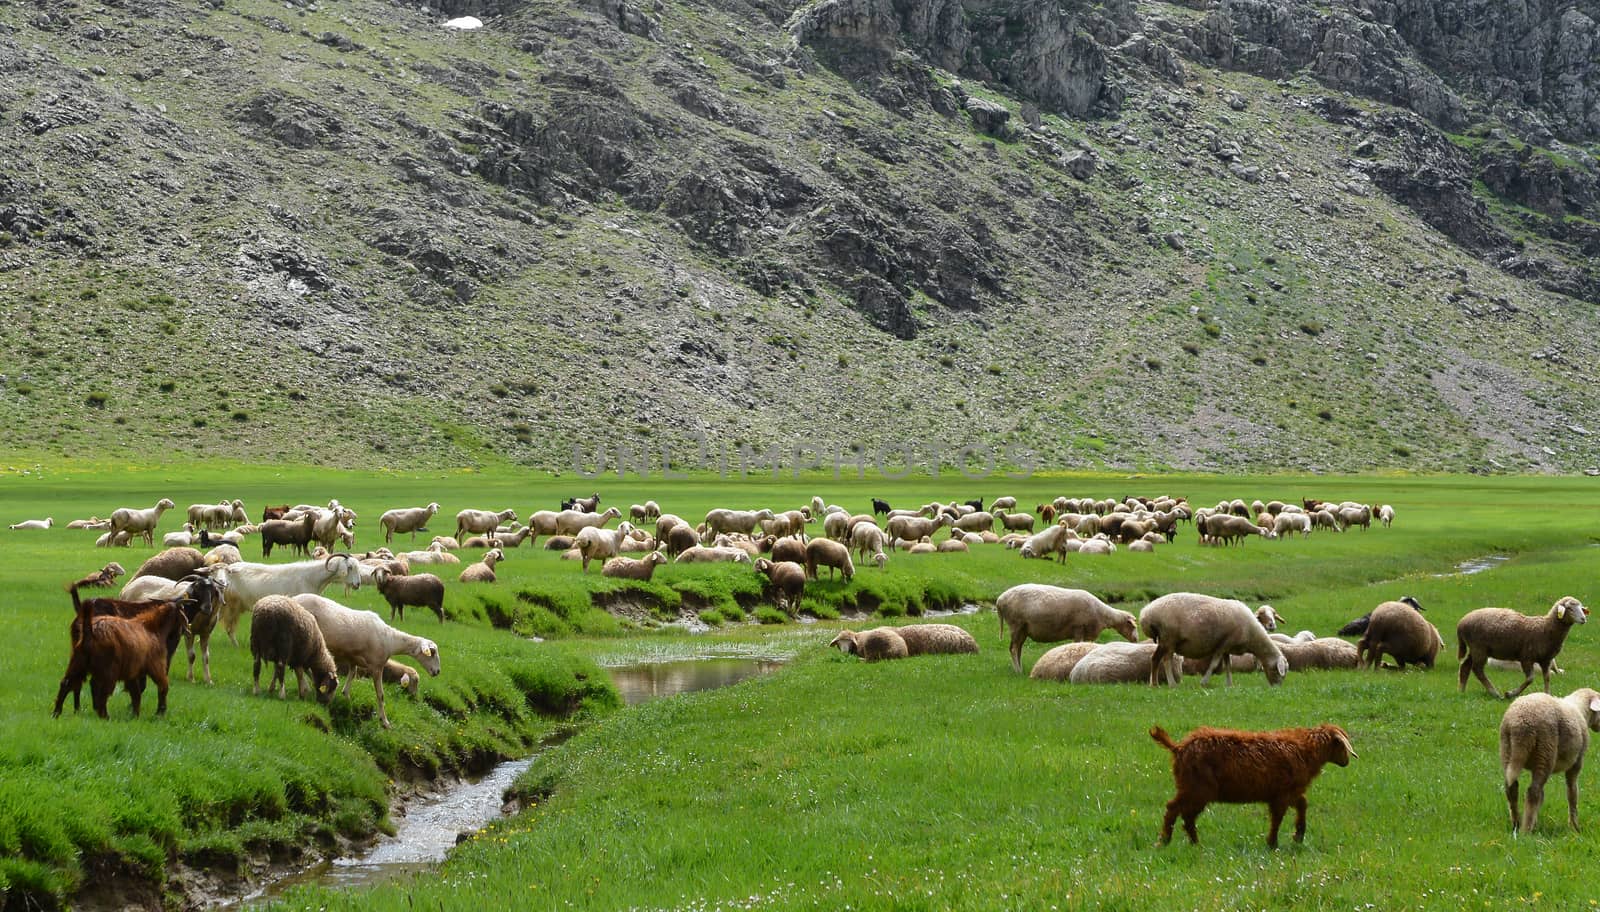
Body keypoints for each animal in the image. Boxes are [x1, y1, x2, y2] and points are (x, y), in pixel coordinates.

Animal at [291, 592, 441, 726]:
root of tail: (293, 598)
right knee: (300, 666)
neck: (390, 640)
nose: (438, 672)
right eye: (432, 653)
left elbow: (352, 674)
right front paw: (384, 722)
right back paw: (306, 688)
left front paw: (346, 698)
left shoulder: (353, 659)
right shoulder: (377, 667)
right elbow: (380, 695)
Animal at [1139, 588, 1286, 681]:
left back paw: (1154, 685)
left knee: (1155, 659)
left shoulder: (1227, 648)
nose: (1276, 688)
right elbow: (1214, 664)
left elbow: (1228, 666)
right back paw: (1172, 684)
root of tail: (1146, 613)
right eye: (1277, 671)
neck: (1252, 635)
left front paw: (1229, 685)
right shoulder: (1223, 644)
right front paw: (1204, 682)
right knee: (1166, 661)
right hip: (1169, 638)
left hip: (1163, 641)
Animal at [1145, 723, 1356, 844]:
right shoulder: (1282, 794)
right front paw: (1272, 843)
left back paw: (1194, 842)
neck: (1305, 751)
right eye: (1342, 747)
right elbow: (1277, 818)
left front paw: (1298, 835)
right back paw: (1166, 840)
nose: (1347, 762)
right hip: (1197, 788)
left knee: (1186, 815)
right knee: (1175, 809)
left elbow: (1302, 804)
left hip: (1192, 788)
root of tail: (1178, 747)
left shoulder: (1289, 792)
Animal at [1497, 688, 1600, 832]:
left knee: (1512, 788)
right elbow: (1572, 793)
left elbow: (1543, 796)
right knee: (1533, 792)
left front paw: (1535, 821)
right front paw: (1575, 827)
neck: (1581, 710)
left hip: (1507, 750)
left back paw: (1517, 824)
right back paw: (1526, 830)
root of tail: (1520, 722)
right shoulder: (1576, 762)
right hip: (1545, 751)